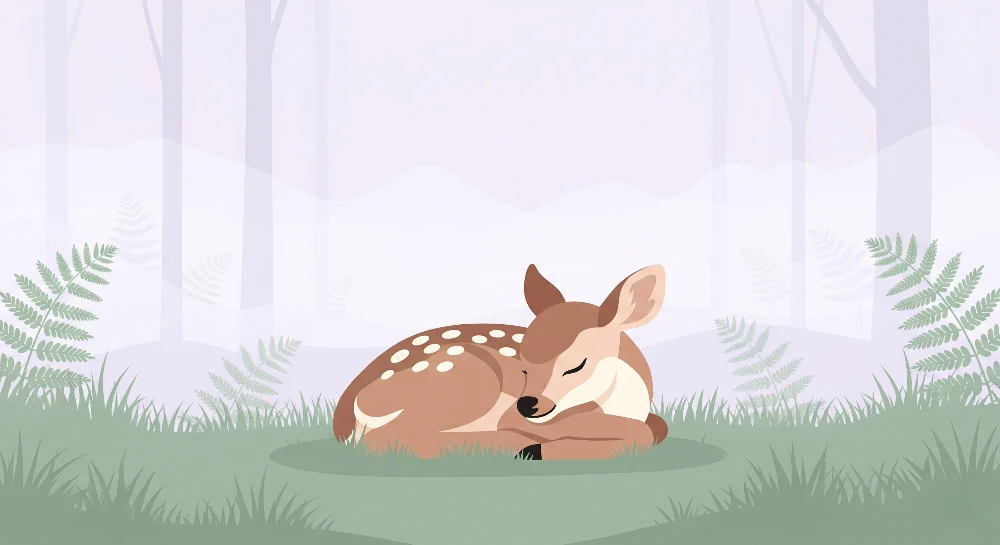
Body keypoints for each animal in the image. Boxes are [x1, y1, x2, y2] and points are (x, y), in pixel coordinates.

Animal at [332, 263, 670, 460]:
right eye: (523, 365)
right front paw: (537, 447)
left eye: (577, 365)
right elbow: (639, 432)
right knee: (385, 439)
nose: (527, 404)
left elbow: (657, 427)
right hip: (467, 380)